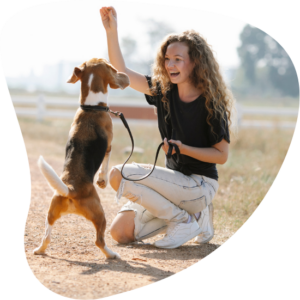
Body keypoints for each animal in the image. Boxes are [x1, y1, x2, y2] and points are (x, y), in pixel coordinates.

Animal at [33, 58, 129, 258]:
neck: (91, 108)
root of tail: (71, 189)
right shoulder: (109, 146)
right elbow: (105, 166)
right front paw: (102, 181)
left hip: (50, 213)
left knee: (46, 237)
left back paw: (39, 250)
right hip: (100, 214)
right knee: (99, 241)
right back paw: (111, 254)